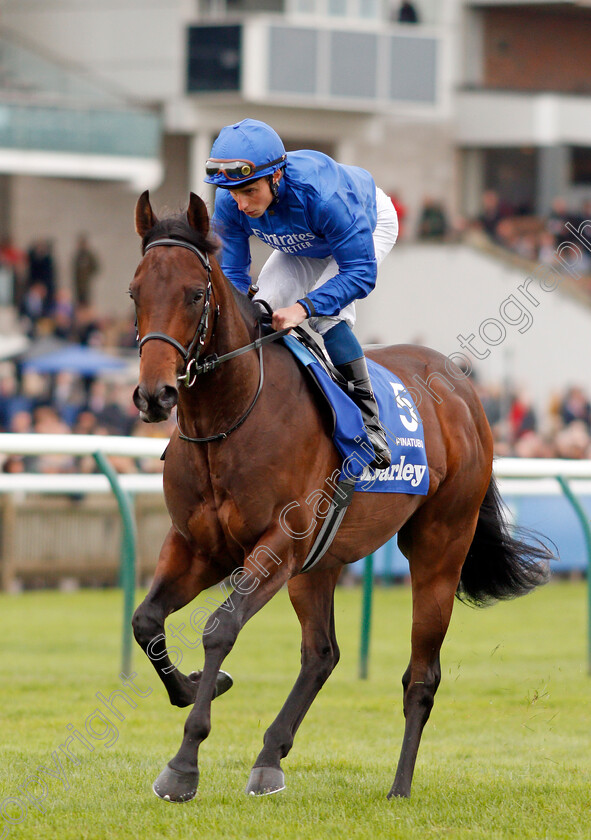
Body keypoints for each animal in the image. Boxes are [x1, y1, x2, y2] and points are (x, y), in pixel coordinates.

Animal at [132, 194, 552, 804]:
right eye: (134, 292)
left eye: (193, 293)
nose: (154, 394)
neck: (229, 418)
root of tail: (464, 388)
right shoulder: (196, 546)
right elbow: (146, 621)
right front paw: (189, 690)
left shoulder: (277, 545)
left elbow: (219, 629)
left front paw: (184, 764)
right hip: (319, 563)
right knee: (321, 653)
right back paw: (269, 759)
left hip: (440, 546)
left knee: (421, 674)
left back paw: (399, 786)